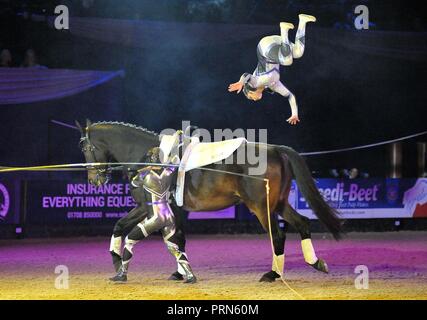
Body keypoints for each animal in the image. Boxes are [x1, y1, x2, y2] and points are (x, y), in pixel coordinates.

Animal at [76, 120, 344, 282]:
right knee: (302, 223)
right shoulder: (174, 210)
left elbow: (122, 226)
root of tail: (276, 149)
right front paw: (180, 272)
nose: (94, 181)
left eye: (85, 148)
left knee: (277, 236)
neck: (149, 156)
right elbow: (176, 239)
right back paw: (315, 262)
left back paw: (272, 274)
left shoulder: (146, 207)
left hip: (261, 207)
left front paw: (117, 261)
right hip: (278, 203)